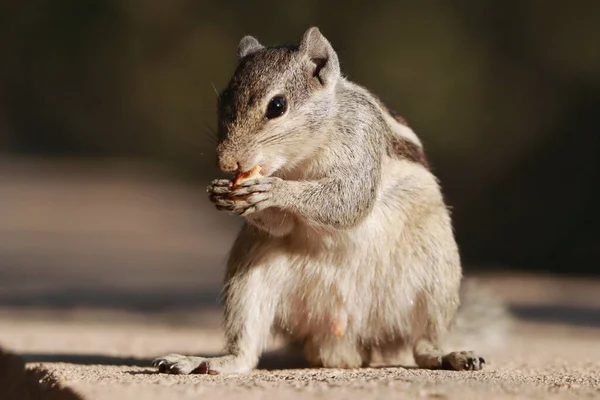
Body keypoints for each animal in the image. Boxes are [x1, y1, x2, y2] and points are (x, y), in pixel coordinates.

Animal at [152, 27, 508, 376]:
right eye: (222, 100)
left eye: (277, 106)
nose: (225, 163)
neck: (303, 156)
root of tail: (346, 335)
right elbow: (283, 225)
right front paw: (221, 193)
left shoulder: (362, 141)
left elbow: (348, 199)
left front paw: (273, 190)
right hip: (248, 281)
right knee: (246, 351)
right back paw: (204, 361)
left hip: (436, 278)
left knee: (423, 345)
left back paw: (449, 355)